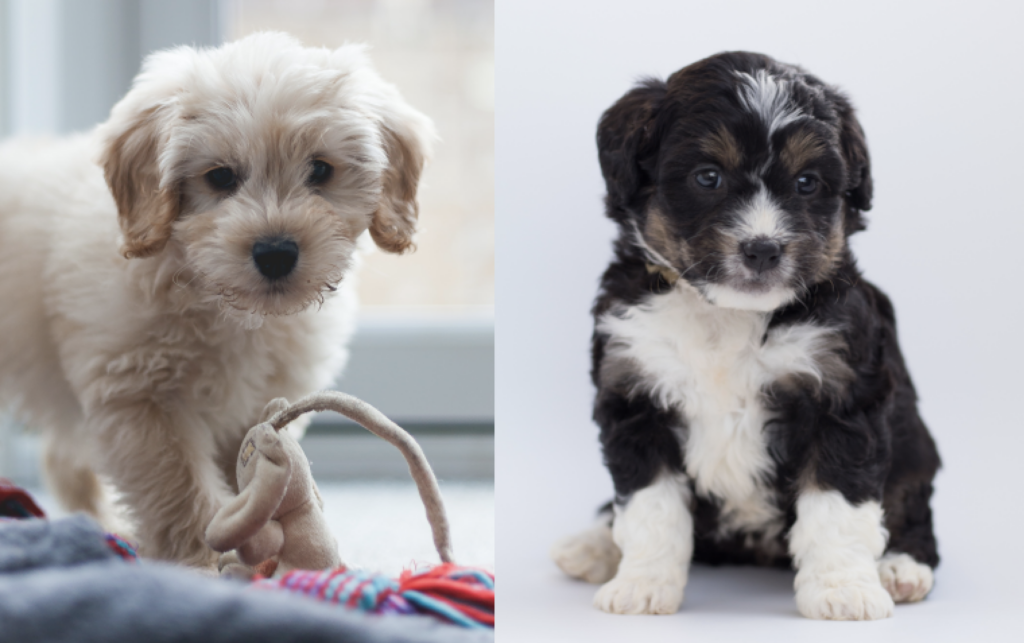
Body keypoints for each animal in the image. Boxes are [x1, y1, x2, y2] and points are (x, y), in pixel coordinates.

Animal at [0, 33, 432, 569]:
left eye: (320, 170)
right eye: (221, 177)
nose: (275, 253)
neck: (217, 300)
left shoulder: (255, 406)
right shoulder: (141, 402)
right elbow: (181, 488)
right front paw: (207, 562)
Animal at [548, 52, 937, 618]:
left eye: (807, 183)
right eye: (708, 177)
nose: (763, 249)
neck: (727, 313)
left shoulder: (841, 394)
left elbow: (836, 506)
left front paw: (843, 590)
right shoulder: (635, 392)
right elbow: (650, 505)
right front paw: (642, 585)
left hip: (916, 449)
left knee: (911, 505)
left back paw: (901, 568)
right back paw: (592, 545)